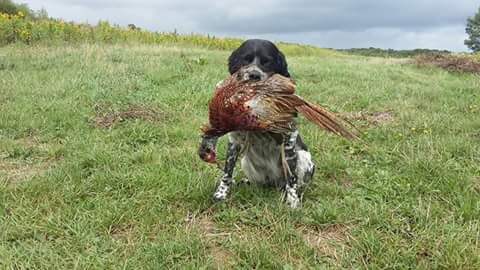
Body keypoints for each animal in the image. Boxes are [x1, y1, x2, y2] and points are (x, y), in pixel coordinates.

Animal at [208, 38, 314, 209]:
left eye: (267, 62)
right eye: (245, 59)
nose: (254, 75)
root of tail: (274, 182)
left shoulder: (289, 137)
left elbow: (292, 178)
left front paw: (293, 202)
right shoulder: (235, 141)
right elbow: (227, 171)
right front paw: (221, 194)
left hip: (303, 156)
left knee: (294, 181)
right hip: (246, 162)